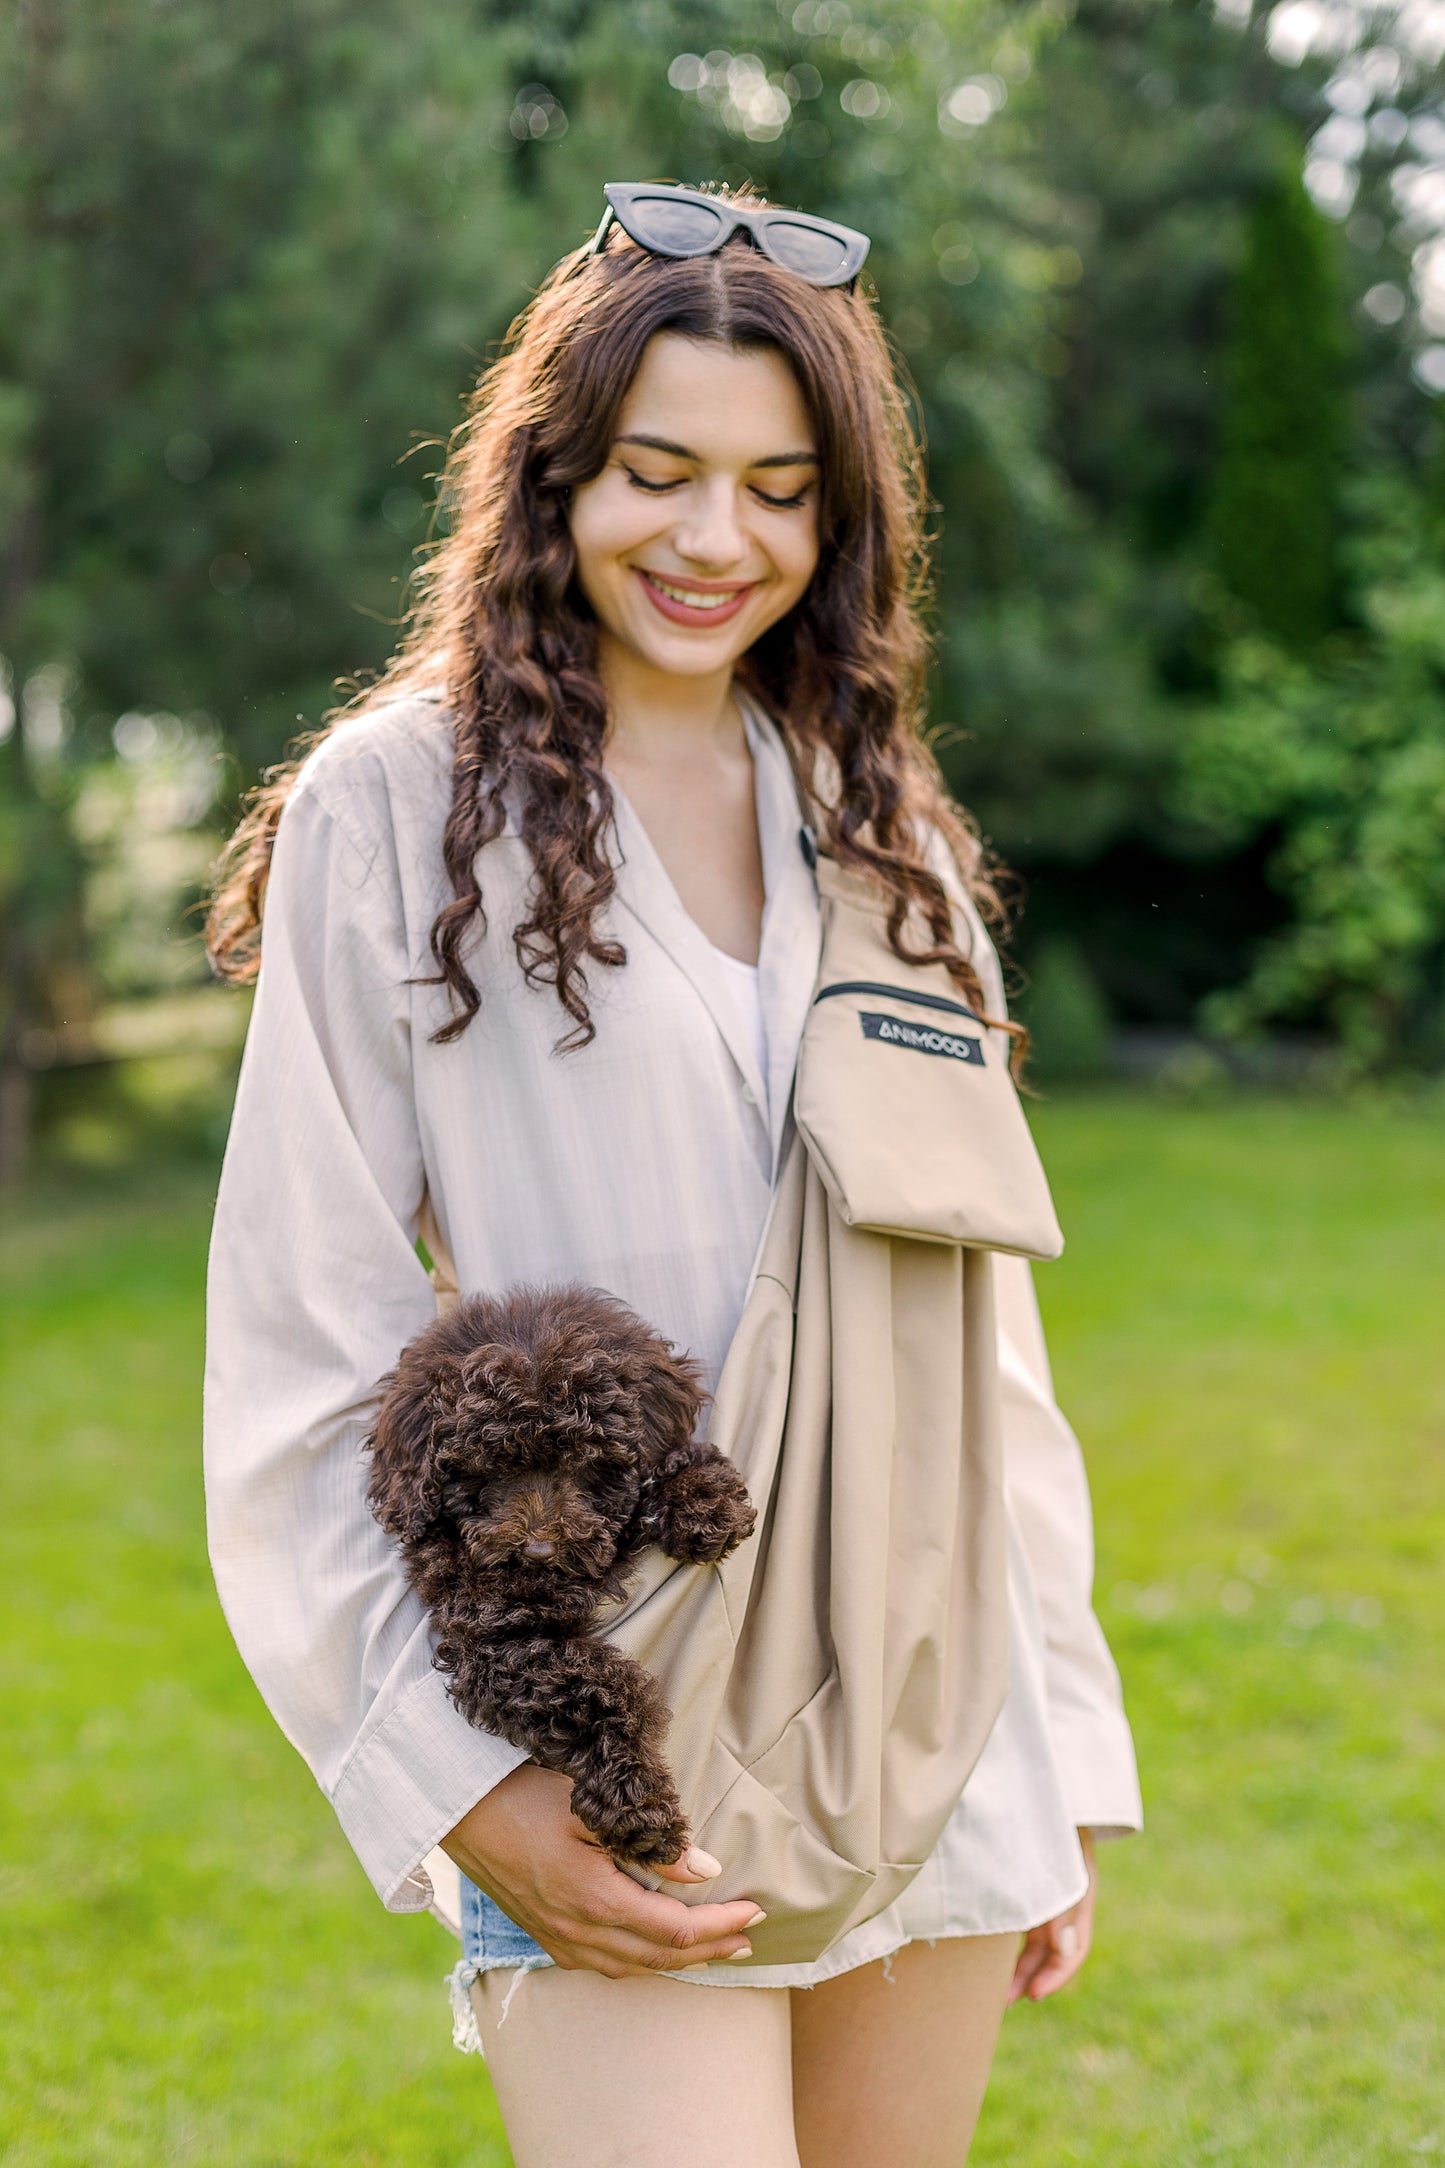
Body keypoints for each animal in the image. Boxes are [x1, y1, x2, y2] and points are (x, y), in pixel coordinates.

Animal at [368, 1283, 758, 1864]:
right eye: (489, 1469)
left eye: (585, 1461)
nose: (537, 1551)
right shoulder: (495, 1640)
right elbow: (594, 1691)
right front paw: (638, 1807)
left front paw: (705, 1500)